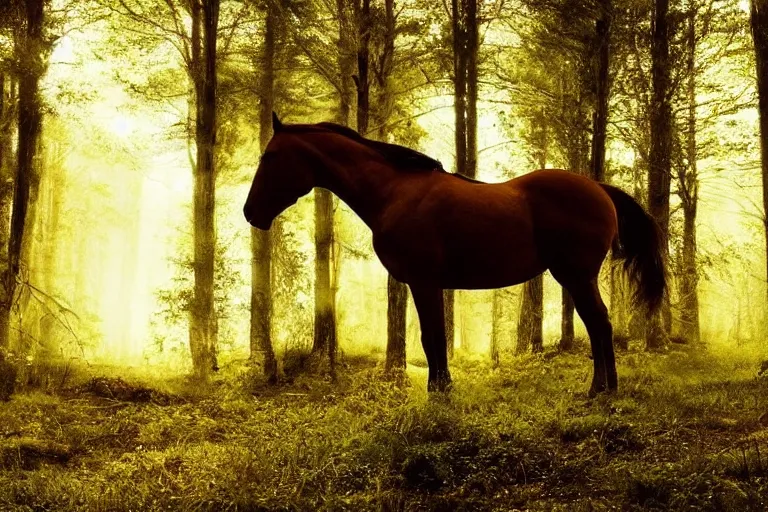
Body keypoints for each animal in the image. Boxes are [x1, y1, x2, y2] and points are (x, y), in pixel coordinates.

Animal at [243, 114, 664, 398]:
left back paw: (601, 389)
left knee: (600, 324)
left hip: (576, 276)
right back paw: (604, 388)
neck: (393, 191)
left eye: (271, 156)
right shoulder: (427, 284)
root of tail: (600, 189)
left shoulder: (423, 281)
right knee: (598, 325)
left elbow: (432, 337)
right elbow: (435, 338)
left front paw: (439, 390)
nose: (250, 212)